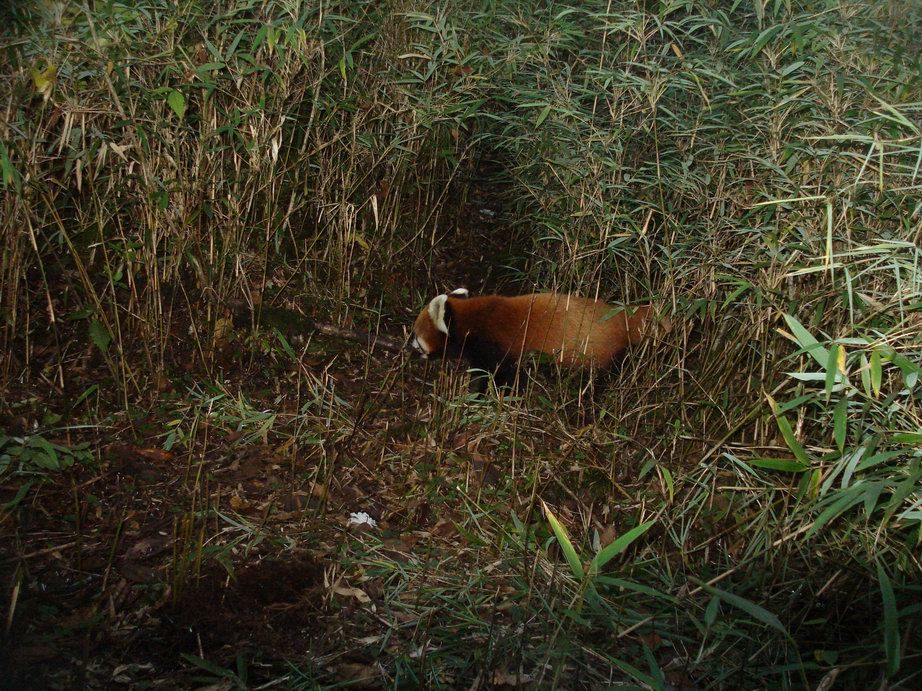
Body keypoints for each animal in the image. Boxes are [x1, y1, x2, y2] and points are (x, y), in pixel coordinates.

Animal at [410, 288, 656, 386]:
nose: (409, 348)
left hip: (598, 353)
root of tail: (621, 315)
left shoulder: (494, 348)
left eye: (416, 336)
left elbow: (498, 377)